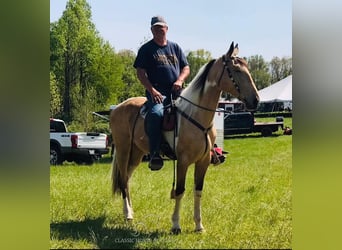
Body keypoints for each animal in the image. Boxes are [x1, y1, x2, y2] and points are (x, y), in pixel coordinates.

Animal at [109, 42, 260, 233]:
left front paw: (199, 225)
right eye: (237, 70)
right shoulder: (183, 161)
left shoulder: (203, 161)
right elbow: (180, 191)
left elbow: (198, 190)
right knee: (122, 179)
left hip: (136, 153)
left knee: (127, 179)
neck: (195, 115)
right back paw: (127, 214)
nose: (256, 100)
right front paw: (175, 224)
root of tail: (117, 108)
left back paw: (129, 212)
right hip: (123, 150)